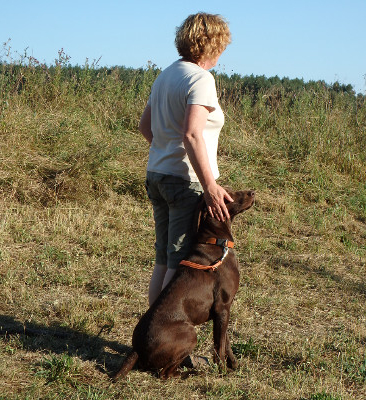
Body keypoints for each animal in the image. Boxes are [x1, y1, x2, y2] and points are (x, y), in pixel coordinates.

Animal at [114, 189, 254, 380]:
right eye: (228, 194)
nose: (253, 192)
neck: (216, 242)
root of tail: (136, 350)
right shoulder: (222, 306)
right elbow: (219, 346)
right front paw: (222, 371)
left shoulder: (223, 310)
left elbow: (225, 341)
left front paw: (233, 364)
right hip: (190, 334)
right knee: (164, 373)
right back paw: (193, 373)